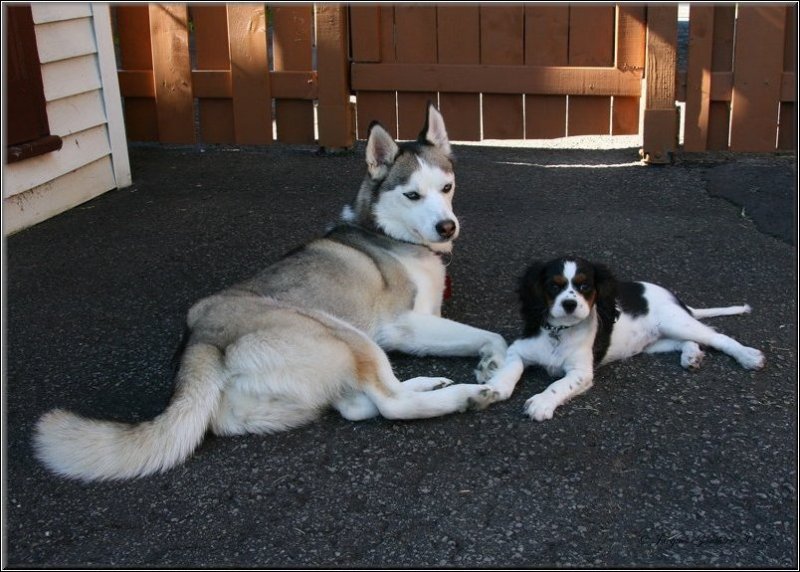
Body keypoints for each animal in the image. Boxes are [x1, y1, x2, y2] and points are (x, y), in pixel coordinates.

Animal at [34, 105, 506, 480]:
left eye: (446, 188)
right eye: (411, 195)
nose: (447, 226)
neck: (389, 234)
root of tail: (199, 339)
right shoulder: (402, 325)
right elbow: (494, 335)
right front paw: (494, 367)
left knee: (359, 404)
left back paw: (428, 383)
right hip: (344, 332)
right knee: (389, 402)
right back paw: (462, 395)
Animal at [484, 258, 764, 420]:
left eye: (585, 286)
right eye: (554, 286)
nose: (569, 304)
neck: (560, 332)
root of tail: (675, 297)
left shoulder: (581, 372)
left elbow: (559, 385)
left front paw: (542, 402)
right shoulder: (519, 349)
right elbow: (510, 368)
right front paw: (495, 387)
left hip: (676, 322)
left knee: (718, 337)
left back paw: (748, 356)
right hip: (656, 341)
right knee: (687, 342)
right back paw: (691, 356)